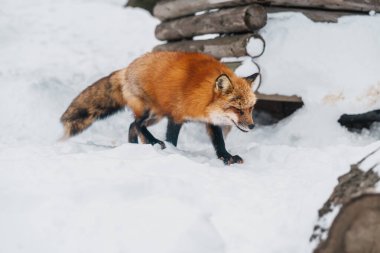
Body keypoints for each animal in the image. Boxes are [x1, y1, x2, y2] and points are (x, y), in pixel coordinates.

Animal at [60, 52, 260, 165]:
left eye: (250, 108)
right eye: (237, 109)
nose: (252, 126)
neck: (202, 98)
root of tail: (126, 69)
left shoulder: (211, 121)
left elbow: (219, 142)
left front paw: (226, 157)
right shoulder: (176, 116)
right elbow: (172, 138)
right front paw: (173, 152)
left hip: (156, 116)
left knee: (132, 126)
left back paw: (134, 146)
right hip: (149, 110)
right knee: (137, 124)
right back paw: (154, 142)